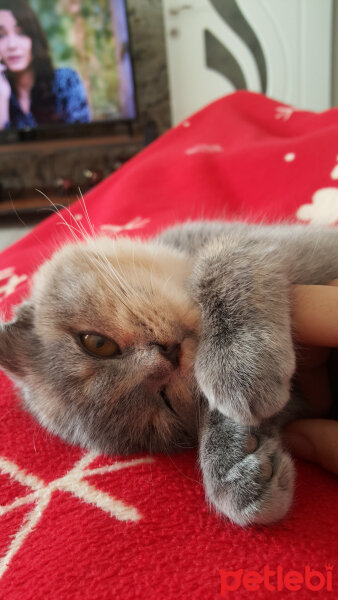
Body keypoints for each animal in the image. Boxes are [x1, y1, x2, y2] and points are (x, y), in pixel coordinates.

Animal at [0, 220, 338, 524]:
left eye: (96, 343)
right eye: (166, 401)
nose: (167, 356)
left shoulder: (278, 242)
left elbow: (219, 262)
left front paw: (240, 363)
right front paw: (237, 465)